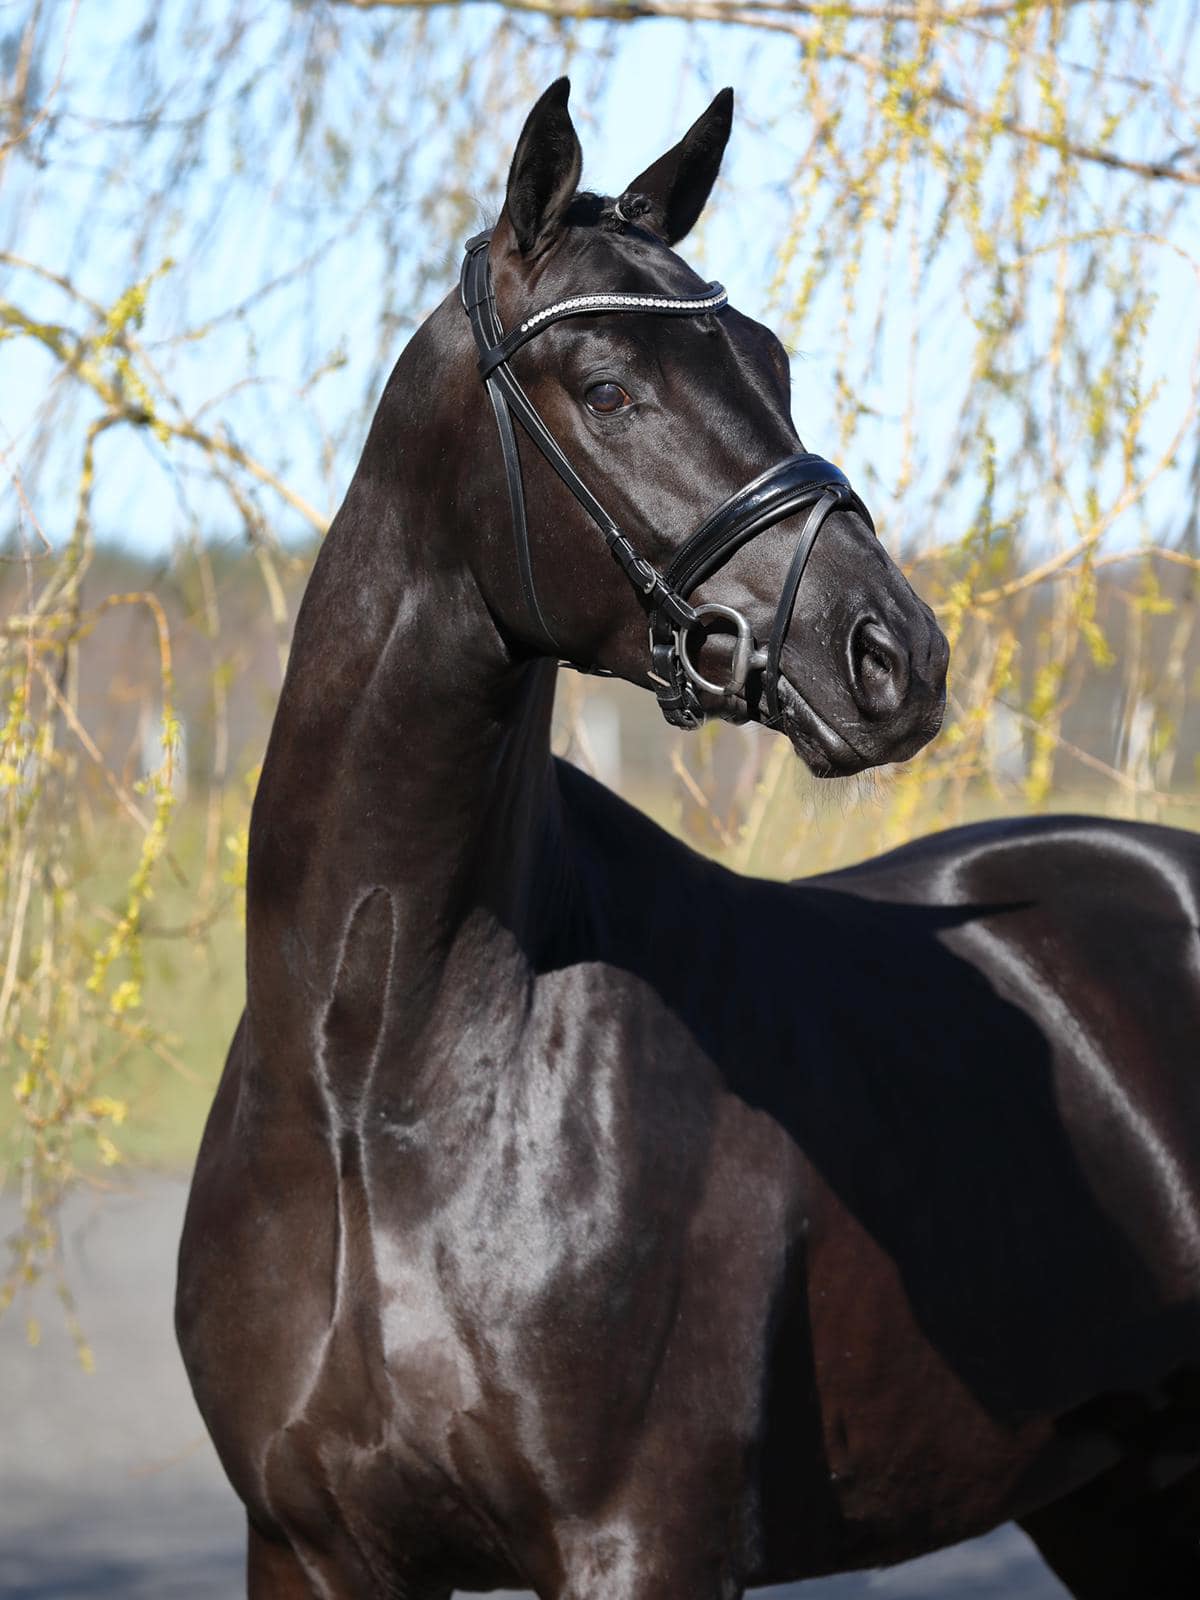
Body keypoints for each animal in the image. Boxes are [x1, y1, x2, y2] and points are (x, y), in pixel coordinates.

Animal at [178, 84, 1200, 1600]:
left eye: (769, 360)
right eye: (605, 387)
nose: (893, 655)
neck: (376, 1083)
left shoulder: (643, 1543)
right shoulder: (305, 1549)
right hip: (1118, 1494)